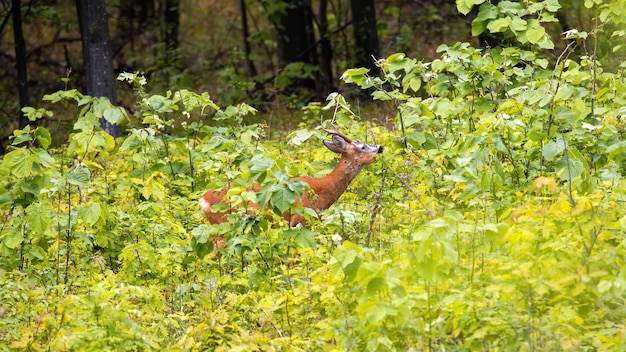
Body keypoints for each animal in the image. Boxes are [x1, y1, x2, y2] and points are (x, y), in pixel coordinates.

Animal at [199, 129, 380, 250]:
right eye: (362, 147)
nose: (380, 148)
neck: (321, 191)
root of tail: (203, 200)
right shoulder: (300, 221)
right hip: (225, 225)